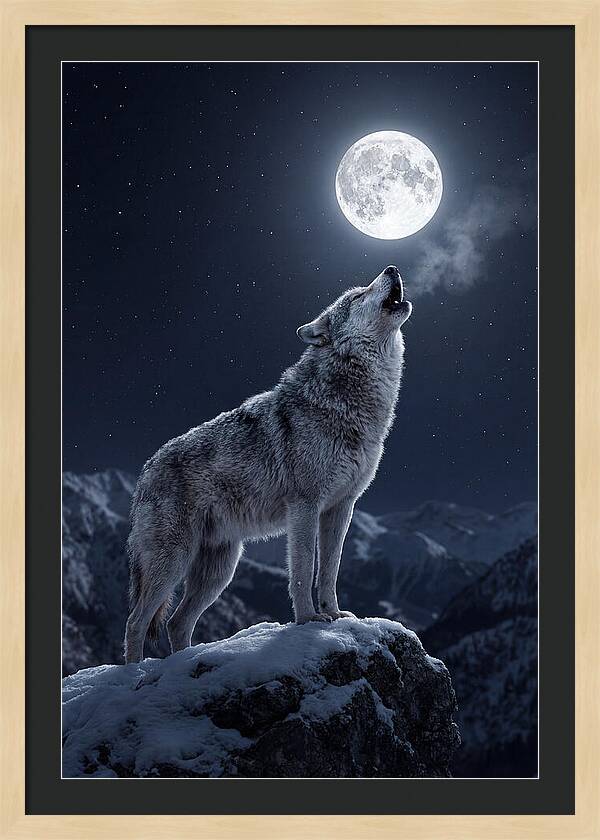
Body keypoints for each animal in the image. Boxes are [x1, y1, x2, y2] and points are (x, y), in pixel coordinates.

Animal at [124, 265, 412, 663]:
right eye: (357, 295)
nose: (392, 268)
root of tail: (145, 470)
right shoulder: (304, 506)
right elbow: (304, 569)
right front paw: (308, 620)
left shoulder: (341, 507)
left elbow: (330, 570)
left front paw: (335, 614)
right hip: (173, 562)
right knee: (136, 622)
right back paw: (133, 673)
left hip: (220, 570)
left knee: (176, 622)